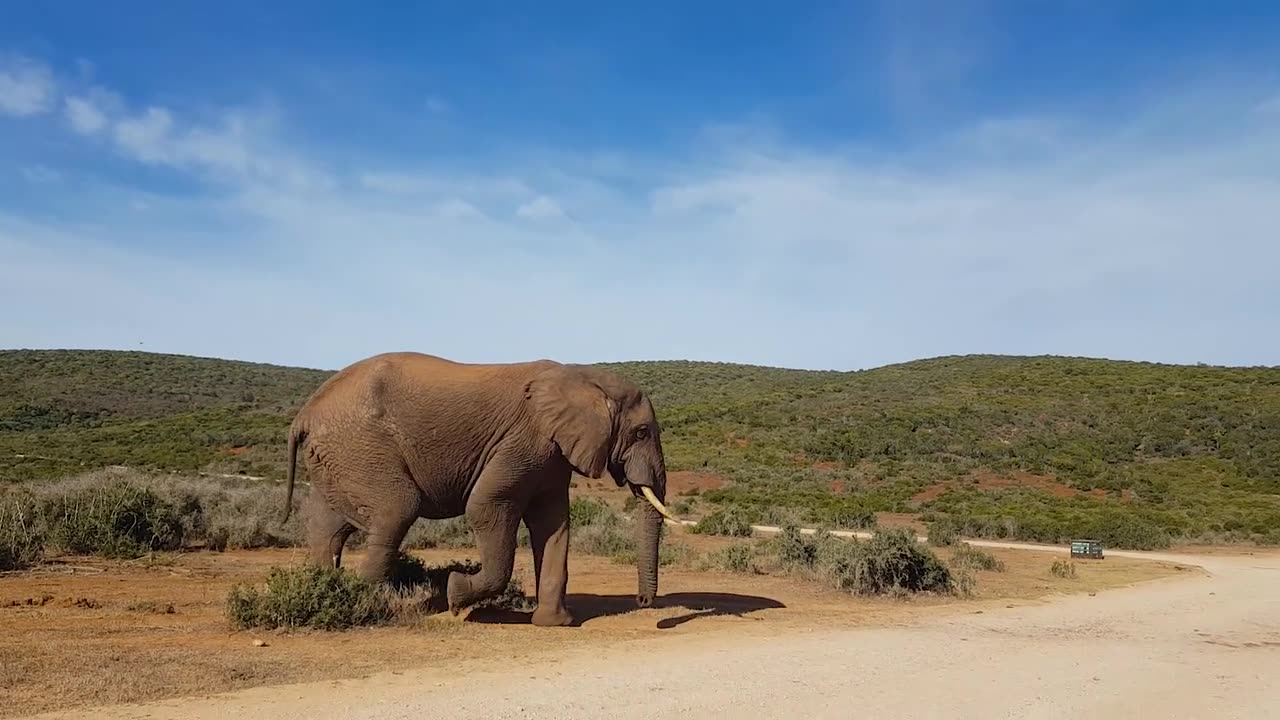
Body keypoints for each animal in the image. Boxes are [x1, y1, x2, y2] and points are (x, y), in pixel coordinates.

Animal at [281, 351, 680, 625]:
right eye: (641, 432)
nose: (644, 604)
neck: (582, 375)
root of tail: (304, 414)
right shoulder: (525, 440)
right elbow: (487, 506)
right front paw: (455, 595)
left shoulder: (552, 456)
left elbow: (552, 524)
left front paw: (556, 624)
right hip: (360, 445)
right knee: (396, 510)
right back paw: (371, 608)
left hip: (337, 456)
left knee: (327, 527)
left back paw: (335, 592)